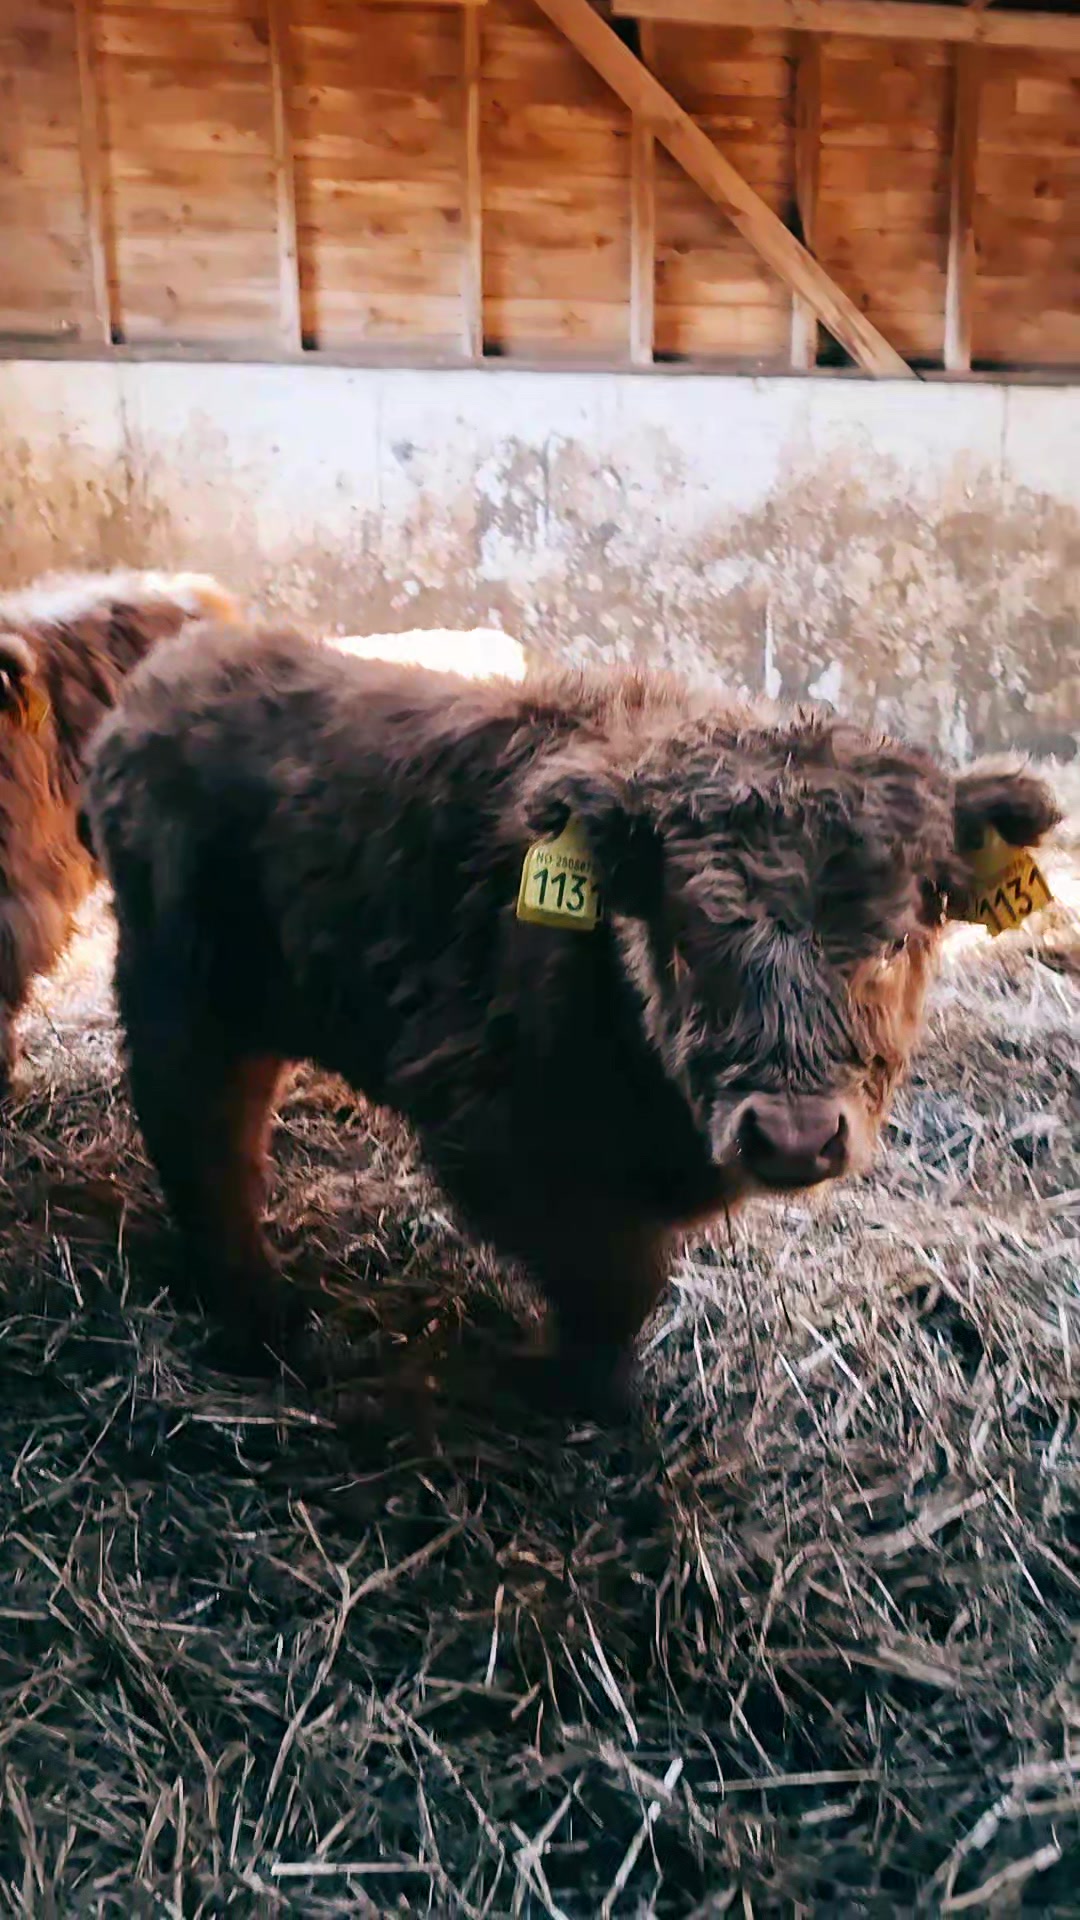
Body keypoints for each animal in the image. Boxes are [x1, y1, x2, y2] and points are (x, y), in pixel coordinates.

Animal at [85, 622, 1060, 1411]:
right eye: (688, 937)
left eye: (897, 940)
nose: (791, 1135)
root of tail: (165, 676)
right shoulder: (498, 1138)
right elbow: (615, 1287)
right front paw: (583, 1397)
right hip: (180, 995)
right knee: (199, 1139)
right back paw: (260, 1320)